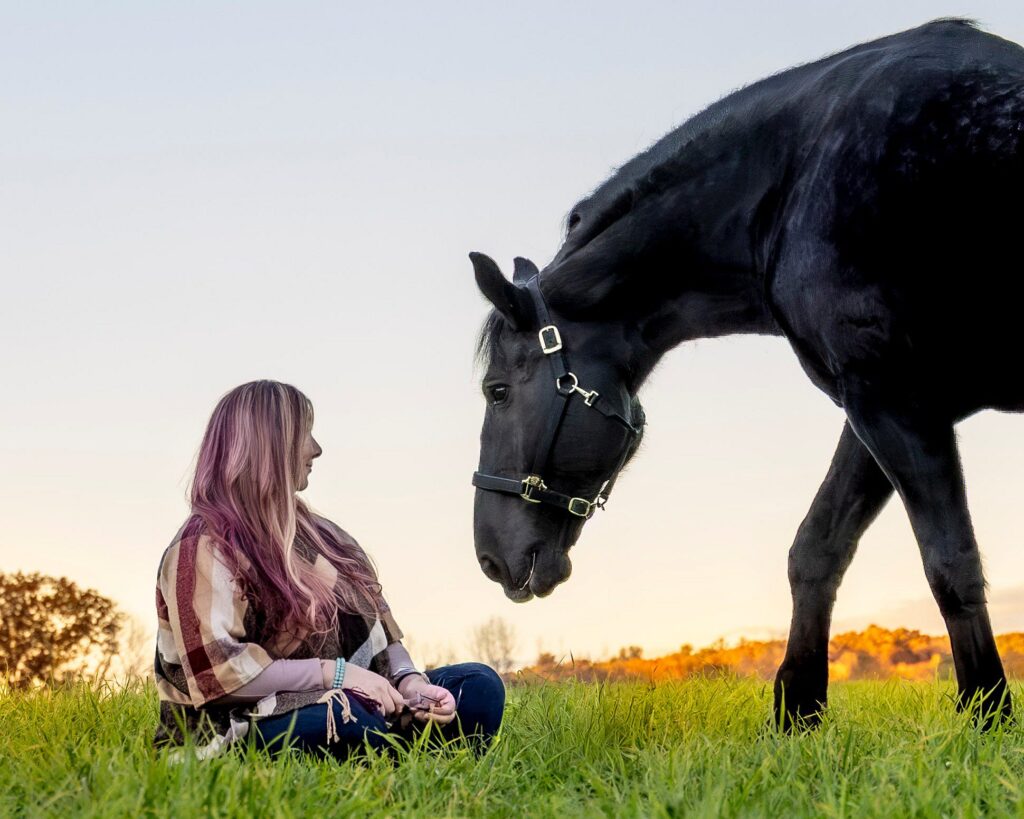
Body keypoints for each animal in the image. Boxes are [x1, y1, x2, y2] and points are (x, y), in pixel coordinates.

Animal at [469, 18, 1024, 727]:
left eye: (498, 391)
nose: (492, 558)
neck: (795, 180)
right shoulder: (879, 405)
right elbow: (816, 551)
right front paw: (796, 712)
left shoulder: (893, 401)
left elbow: (951, 563)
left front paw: (989, 713)